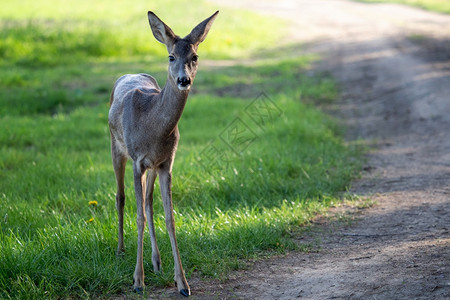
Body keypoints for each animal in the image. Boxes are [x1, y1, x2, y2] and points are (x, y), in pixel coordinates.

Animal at [106, 10, 217, 296]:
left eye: (194, 56)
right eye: (171, 56)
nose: (183, 80)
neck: (153, 125)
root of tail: (128, 74)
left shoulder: (167, 163)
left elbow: (170, 217)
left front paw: (183, 283)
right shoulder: (137, 160)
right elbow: (138, 217)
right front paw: (137, 281)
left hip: (153, 167)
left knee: (148, 202)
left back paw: (156, 262)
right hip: (116, 147)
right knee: (121, 197)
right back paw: (120, 250)